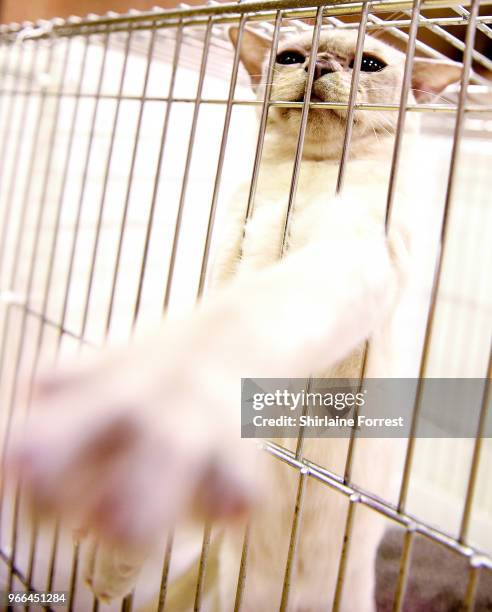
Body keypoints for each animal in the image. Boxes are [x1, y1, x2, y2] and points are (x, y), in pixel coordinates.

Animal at [7, 25, 462, 612]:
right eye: (289, 56)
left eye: (369, 64)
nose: (320, 65)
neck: (302, 178)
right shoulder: (227, 262)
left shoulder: (353, 253)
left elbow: (236, 326)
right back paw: (106, 567)